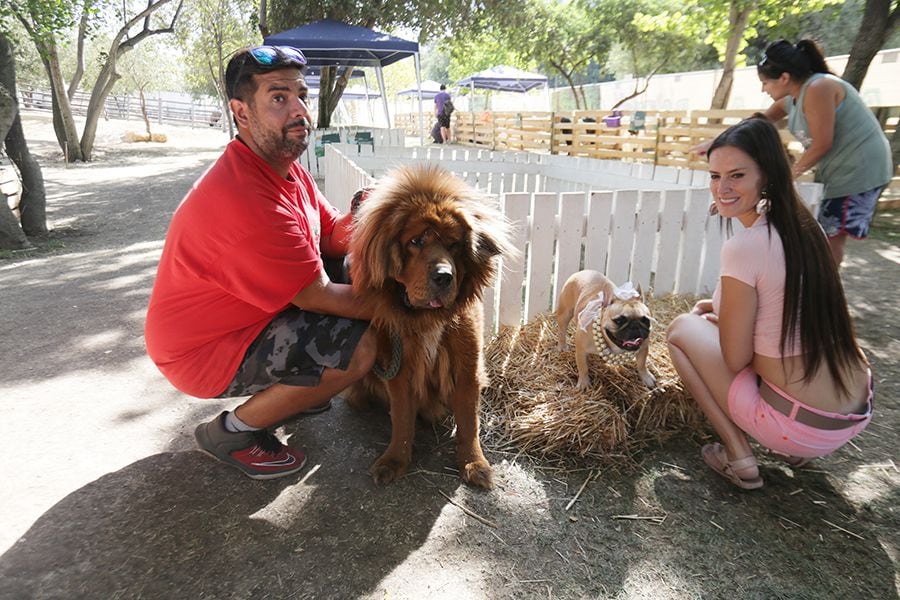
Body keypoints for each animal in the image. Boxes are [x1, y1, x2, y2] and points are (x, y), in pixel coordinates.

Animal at [346, 164, 512, 488]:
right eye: (416, 242)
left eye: (454, 245)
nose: (444, 276)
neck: (426, 317)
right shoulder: (398, 370)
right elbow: (401, 420)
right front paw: (395, 460)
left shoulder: (467, 367)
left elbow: (469, 422)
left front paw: (474, 464)